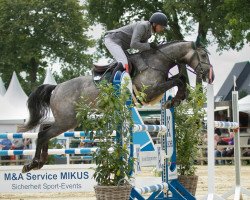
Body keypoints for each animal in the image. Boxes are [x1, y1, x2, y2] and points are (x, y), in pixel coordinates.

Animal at [18, 39, 213, 173]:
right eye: (203, 56)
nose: (211, 76)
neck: (157, 62)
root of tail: (56, 88)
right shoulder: (149, 92)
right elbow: (178, 81)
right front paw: (175, 100)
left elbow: (180, 79)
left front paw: (176, 99)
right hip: (67, 121)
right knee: (44, 134)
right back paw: (32, 164)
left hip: (67, 120)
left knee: (43, 128)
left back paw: (40, 161)